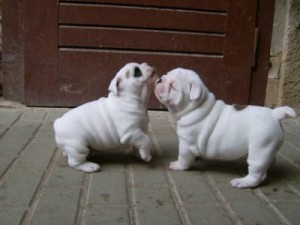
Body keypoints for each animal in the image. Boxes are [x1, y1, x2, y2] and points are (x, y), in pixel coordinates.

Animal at [156, 68, 296, 188]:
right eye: (166, 75)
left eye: (173, 86)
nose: (160, 79)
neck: (195, 107)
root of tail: (275, 114)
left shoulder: (186, 143)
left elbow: (183, 157)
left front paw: (178, 165)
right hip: (268, 148)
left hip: (260, 149)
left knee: (257, 173)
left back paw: (243, 182)